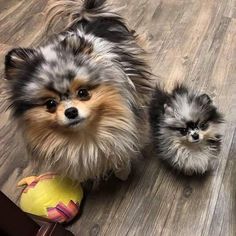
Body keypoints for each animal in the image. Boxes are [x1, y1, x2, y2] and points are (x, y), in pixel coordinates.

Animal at [4, 0, 152, 182]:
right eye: (50, 104)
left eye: (83, 93)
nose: (71, 112)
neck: (84, 136)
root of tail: (87, 17)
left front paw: (122, 171)